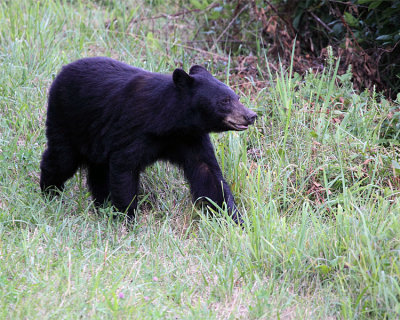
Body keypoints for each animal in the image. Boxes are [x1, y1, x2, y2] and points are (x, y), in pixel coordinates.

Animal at [39, 57, 256, 222]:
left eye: (237, 97)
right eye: (224, 101)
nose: (251, 115)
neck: (171, 123)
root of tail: (63, 70)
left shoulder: (191, 138)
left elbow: (208, 173)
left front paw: (235, 220)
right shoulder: (132, 132)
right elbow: (124, 169)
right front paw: (127, 219)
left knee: (97, 171)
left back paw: (101, 205)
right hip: (67, 121)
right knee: (61, 160)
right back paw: (49, 193)